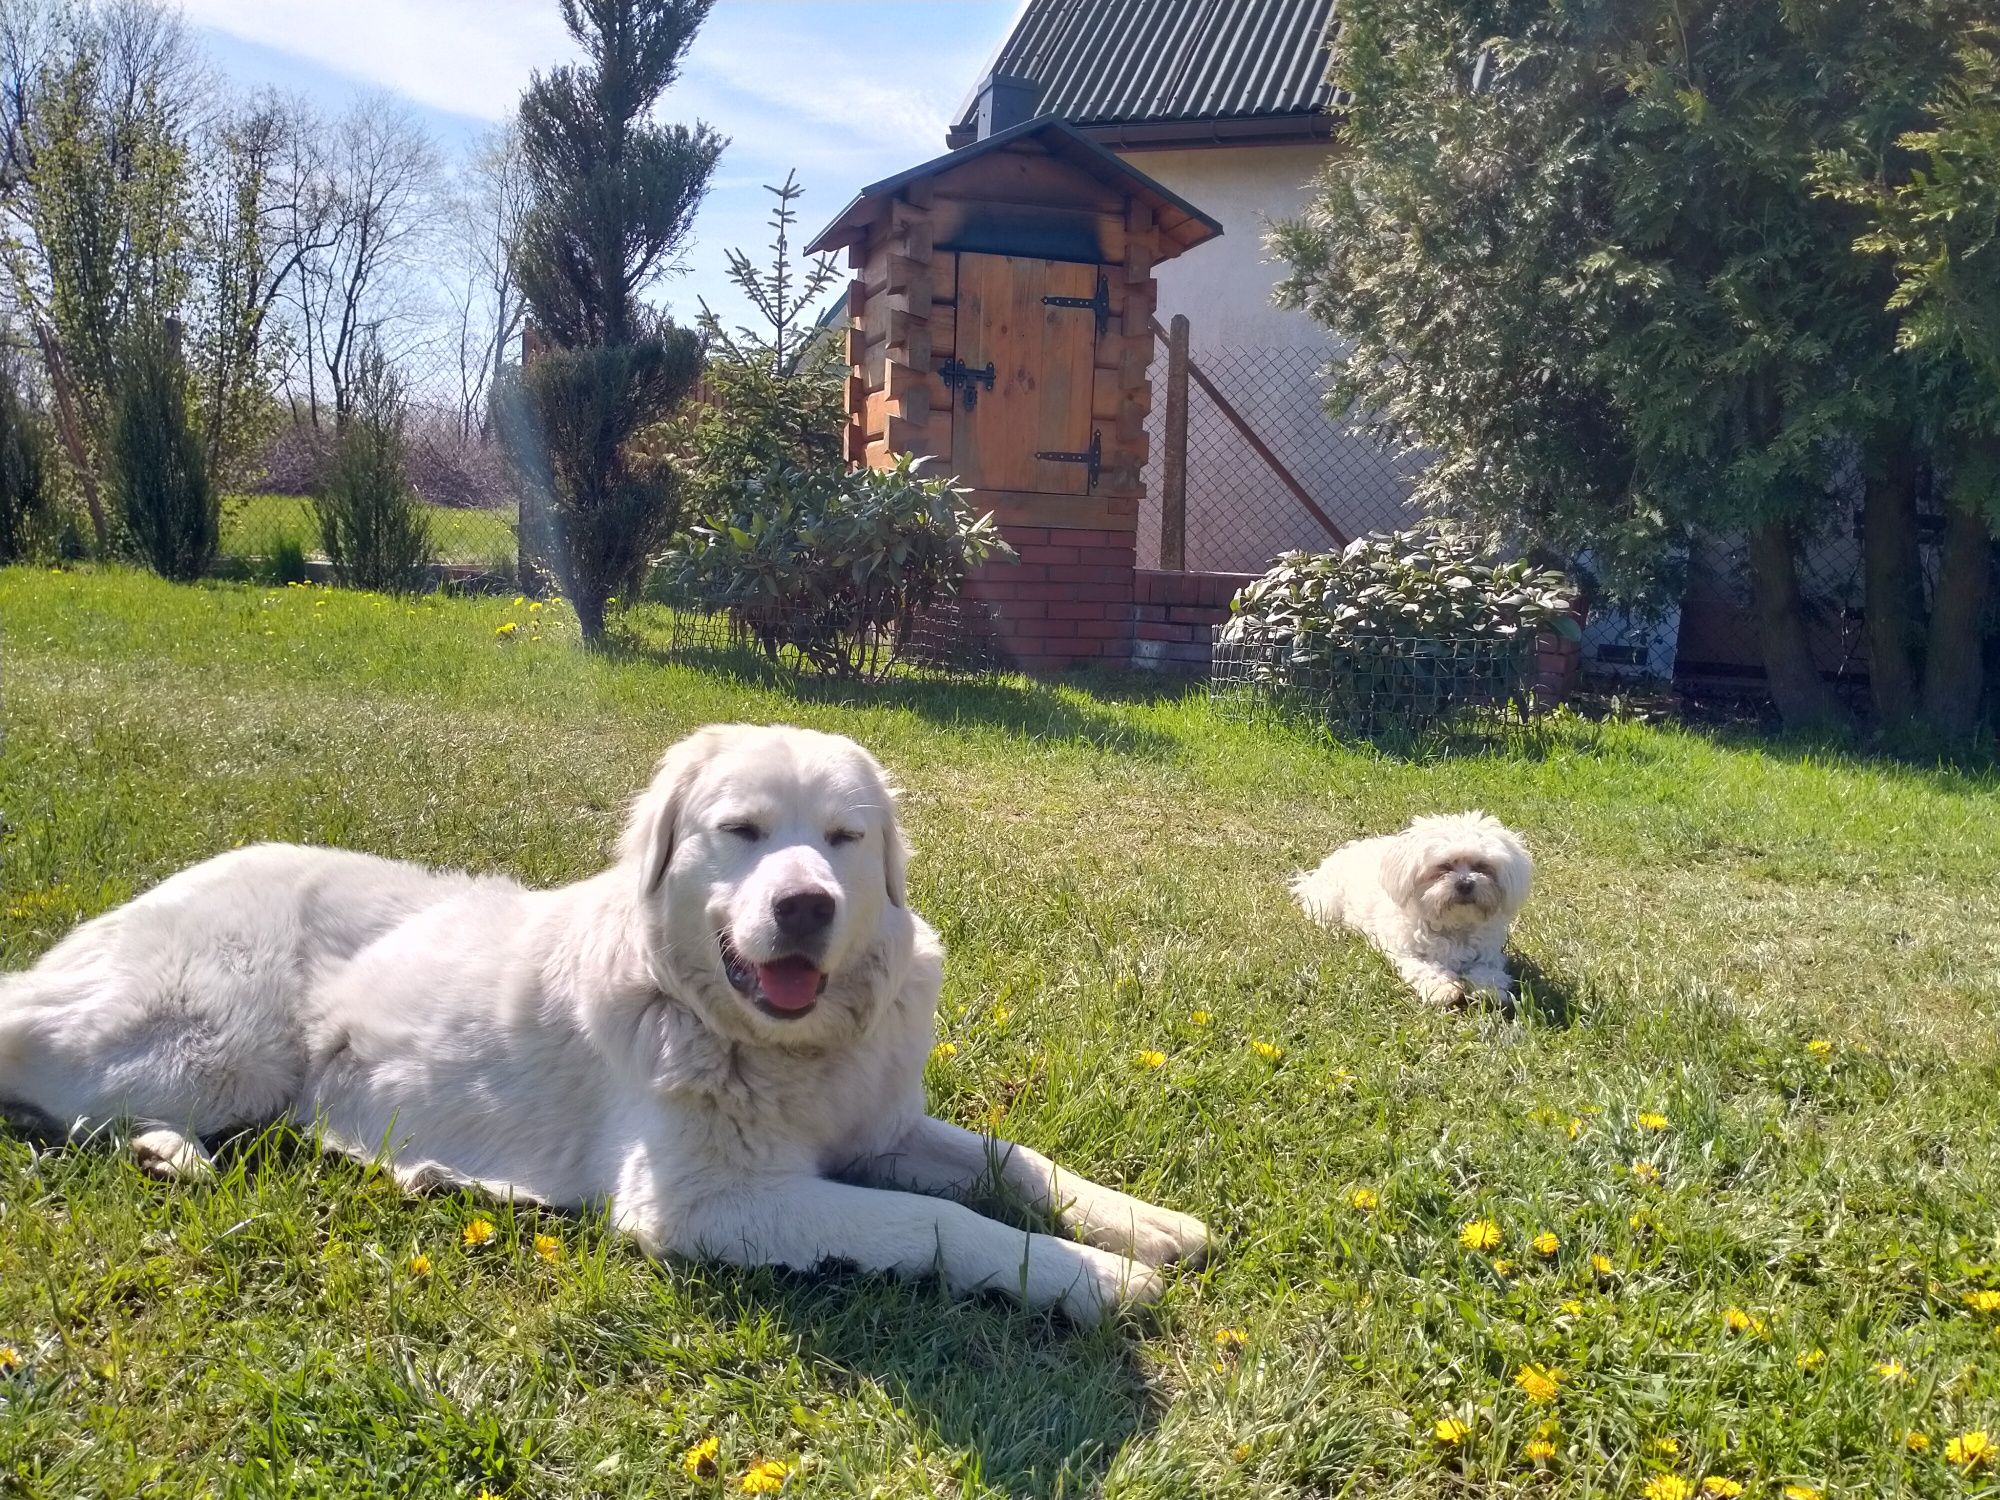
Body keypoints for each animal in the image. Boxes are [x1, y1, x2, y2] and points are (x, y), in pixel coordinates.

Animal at [0, 728, 1200, 1328]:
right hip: (217, 1046)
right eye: (743, 831)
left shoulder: (883, 1129)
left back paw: (175, 1156)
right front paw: (1095, 1282)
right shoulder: (710, 1202)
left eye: (845, 839)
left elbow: (1014, 1160)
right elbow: (937, 1223)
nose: (805, 906)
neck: (775, 1044)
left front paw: (1146, 1225)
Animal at [1296, 812, 1528, 1012]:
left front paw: (1490, 989)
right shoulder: (1406, 953)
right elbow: (1427, 969)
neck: (1453, 925)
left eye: (1481, 866)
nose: (1465, 883)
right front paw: (1443, 989)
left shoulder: (1490, 956)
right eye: (1443, 866)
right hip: (1328, 903)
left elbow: (1487, 971)